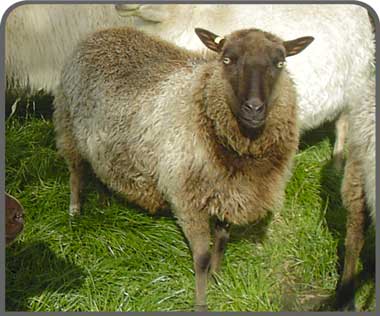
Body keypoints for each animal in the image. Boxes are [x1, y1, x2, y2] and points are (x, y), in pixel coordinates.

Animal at [53, 25, 314, 312]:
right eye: (227, 59)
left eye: (280, 63)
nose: (254, 108)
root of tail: (100, 32)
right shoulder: (187, 199)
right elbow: (201, 257)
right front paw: (201, 302)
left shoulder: (227, 193)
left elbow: (221, 242)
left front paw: (217, 280)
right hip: (68, 124)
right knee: (76, 172)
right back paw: (75, 212)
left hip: (101, 144)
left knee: (99, 170)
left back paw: (104, 201)